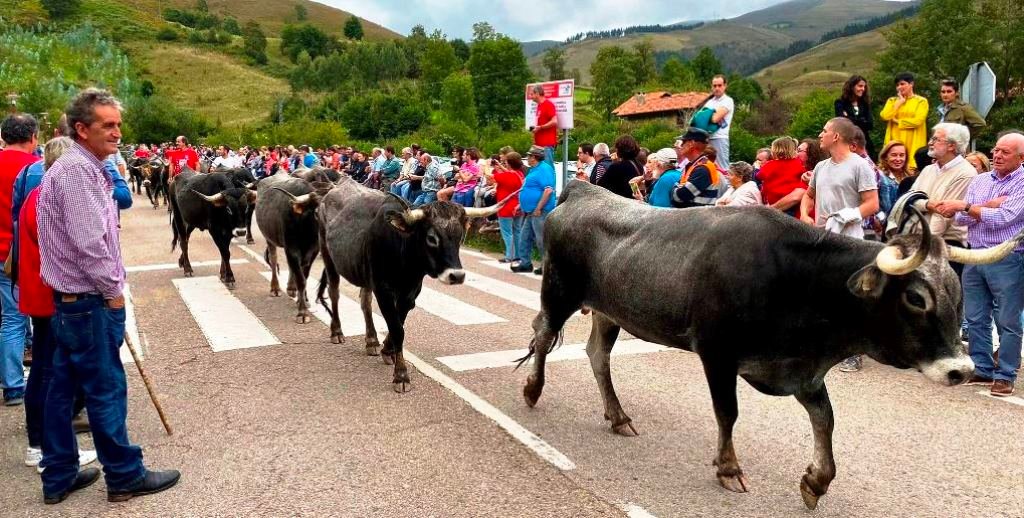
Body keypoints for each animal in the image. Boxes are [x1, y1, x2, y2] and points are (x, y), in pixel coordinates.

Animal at [254, 171, 323, 321]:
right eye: (317, 211)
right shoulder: (291, 248)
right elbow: (301, 279)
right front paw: (302, 313)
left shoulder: (313, 250)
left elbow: (304, 276)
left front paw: (304, 300)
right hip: (270, 239)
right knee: (274, 260)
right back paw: (275, 288)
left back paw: (291, 289)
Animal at [311, 178, 503, 393]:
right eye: (431, 238)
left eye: (460, 236)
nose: (457, 275)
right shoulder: (384, 290)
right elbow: (397, 329)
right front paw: (401, 375)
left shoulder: (410, 293)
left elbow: (399, 324)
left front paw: (388, 350)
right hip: (328, 257)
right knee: (334, 292)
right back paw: (337, 331)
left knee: (364, 301)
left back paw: (371, 340)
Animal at [516, 182, 1019, 509]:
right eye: (916, 297)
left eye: (957, 289)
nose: (961, 369)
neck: (798, 282)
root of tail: (582, 189)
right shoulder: (717, 352)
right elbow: (728, 413)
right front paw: (729, 469)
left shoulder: (801, 370)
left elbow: (826, 420)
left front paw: (816, 481)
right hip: (560, 291)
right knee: (542, 334)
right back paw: (533, 389)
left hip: (609, 310)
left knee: (596, 355)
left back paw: (618, 416)